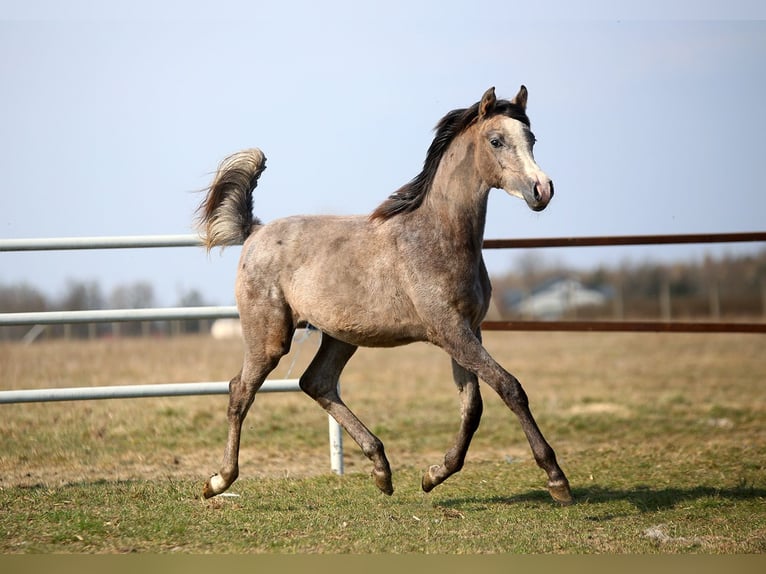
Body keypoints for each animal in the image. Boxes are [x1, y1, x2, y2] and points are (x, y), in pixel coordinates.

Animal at [196, 86, 573, 505]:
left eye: (532, 139)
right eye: (496, 141)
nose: (542, 190)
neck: (437, 237)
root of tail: (256, 231)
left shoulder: (467, 331)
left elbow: (472, 407)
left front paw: (434, 474)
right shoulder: (449, 331)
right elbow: (510, 388)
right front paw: (557, 479)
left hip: (341, 336)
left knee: (316, 383)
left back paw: (381, 469)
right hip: (270, 337)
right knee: (240, 391)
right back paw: (219, 480)